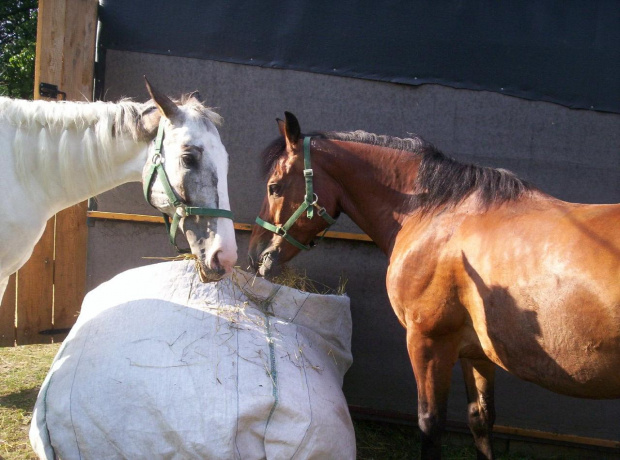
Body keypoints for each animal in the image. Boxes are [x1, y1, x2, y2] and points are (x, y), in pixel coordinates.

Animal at [248, 112, 620, 460]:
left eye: (274, 187)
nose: (256, 254)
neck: (438, 214)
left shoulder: (428, 339)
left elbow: (430, 423)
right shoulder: (475, 351)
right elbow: (480, 418)